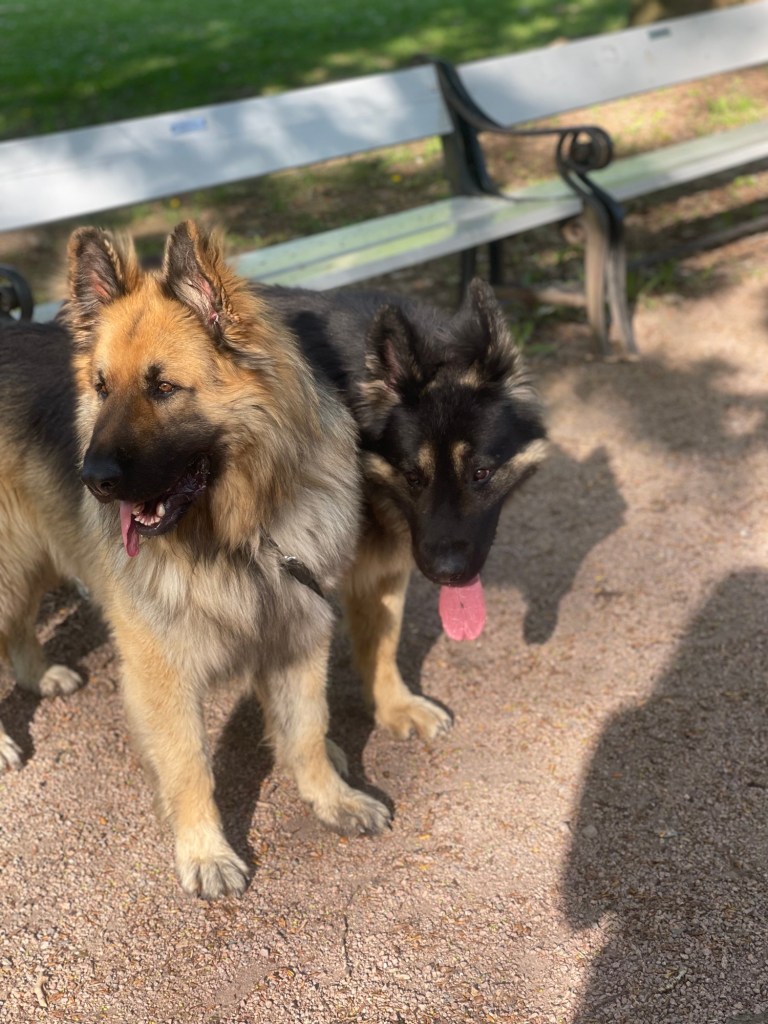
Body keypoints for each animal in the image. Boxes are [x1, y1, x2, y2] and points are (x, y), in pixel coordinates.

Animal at [0, 221, 390, 898]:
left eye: (162, 389)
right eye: (101, 387)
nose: (93, 480)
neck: (239, 533)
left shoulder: (298, 635)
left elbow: (309, 730)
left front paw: (332, 799)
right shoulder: (162, 671)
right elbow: (189, 765)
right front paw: (206, 852)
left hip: (37, 554)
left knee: (20, 623)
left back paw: (38, 674)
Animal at [261, 280, 548, 742]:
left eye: (481, 473)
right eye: (413, 476)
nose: (448, 573)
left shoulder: (380, 571)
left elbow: (382, 642)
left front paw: (393, 707)